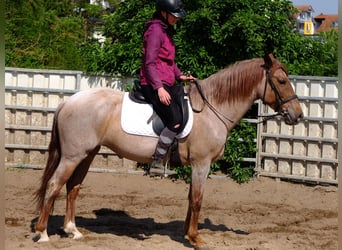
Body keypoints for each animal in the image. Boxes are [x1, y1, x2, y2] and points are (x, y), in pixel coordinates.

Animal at [33, 53, 304, 249]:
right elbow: (198, 198)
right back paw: (43, 233)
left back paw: (72, 230)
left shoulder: (196, 165)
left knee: (73, 187)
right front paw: (196, 238)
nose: (298, 115)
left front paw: (187, 233)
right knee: (54, 185)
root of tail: (69, 101)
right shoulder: (201, 163)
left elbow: (191, 197)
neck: (212, 107)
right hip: (72, 156)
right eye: (281, 81)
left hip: (87, 154)